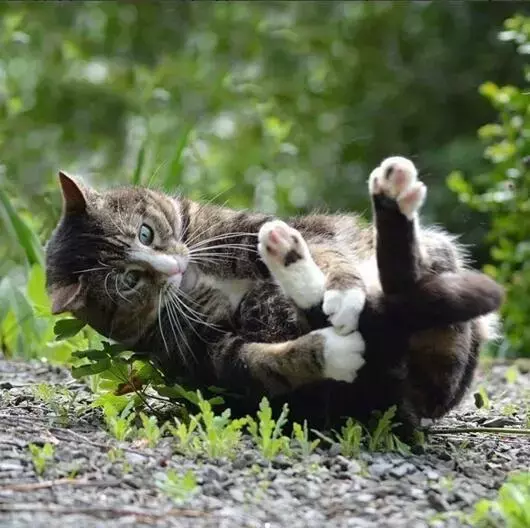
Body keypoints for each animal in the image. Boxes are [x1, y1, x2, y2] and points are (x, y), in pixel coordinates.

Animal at [44, 156, 500, 428]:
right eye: (129, 281)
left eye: (145, 233)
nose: (173, 267)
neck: (195, 279)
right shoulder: (205, 353)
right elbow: (261, 362)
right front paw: (333, 351)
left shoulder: (248, 230)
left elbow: (331, 254)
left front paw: (343, 292)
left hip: (439, 257)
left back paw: (387, 197)